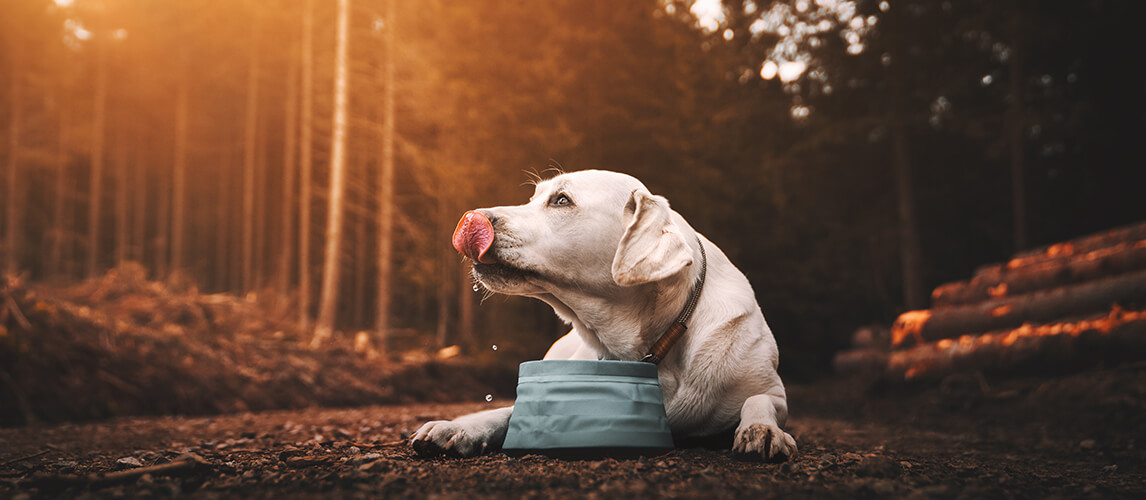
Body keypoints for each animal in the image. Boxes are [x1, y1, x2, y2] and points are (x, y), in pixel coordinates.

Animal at [412, 168, 797, 461]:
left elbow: (760, 401)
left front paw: (762, 431)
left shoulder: (771, 389)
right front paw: (460, 427)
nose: (471, 217)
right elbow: (506, 412)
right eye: (534, 197)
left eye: (561, 200)